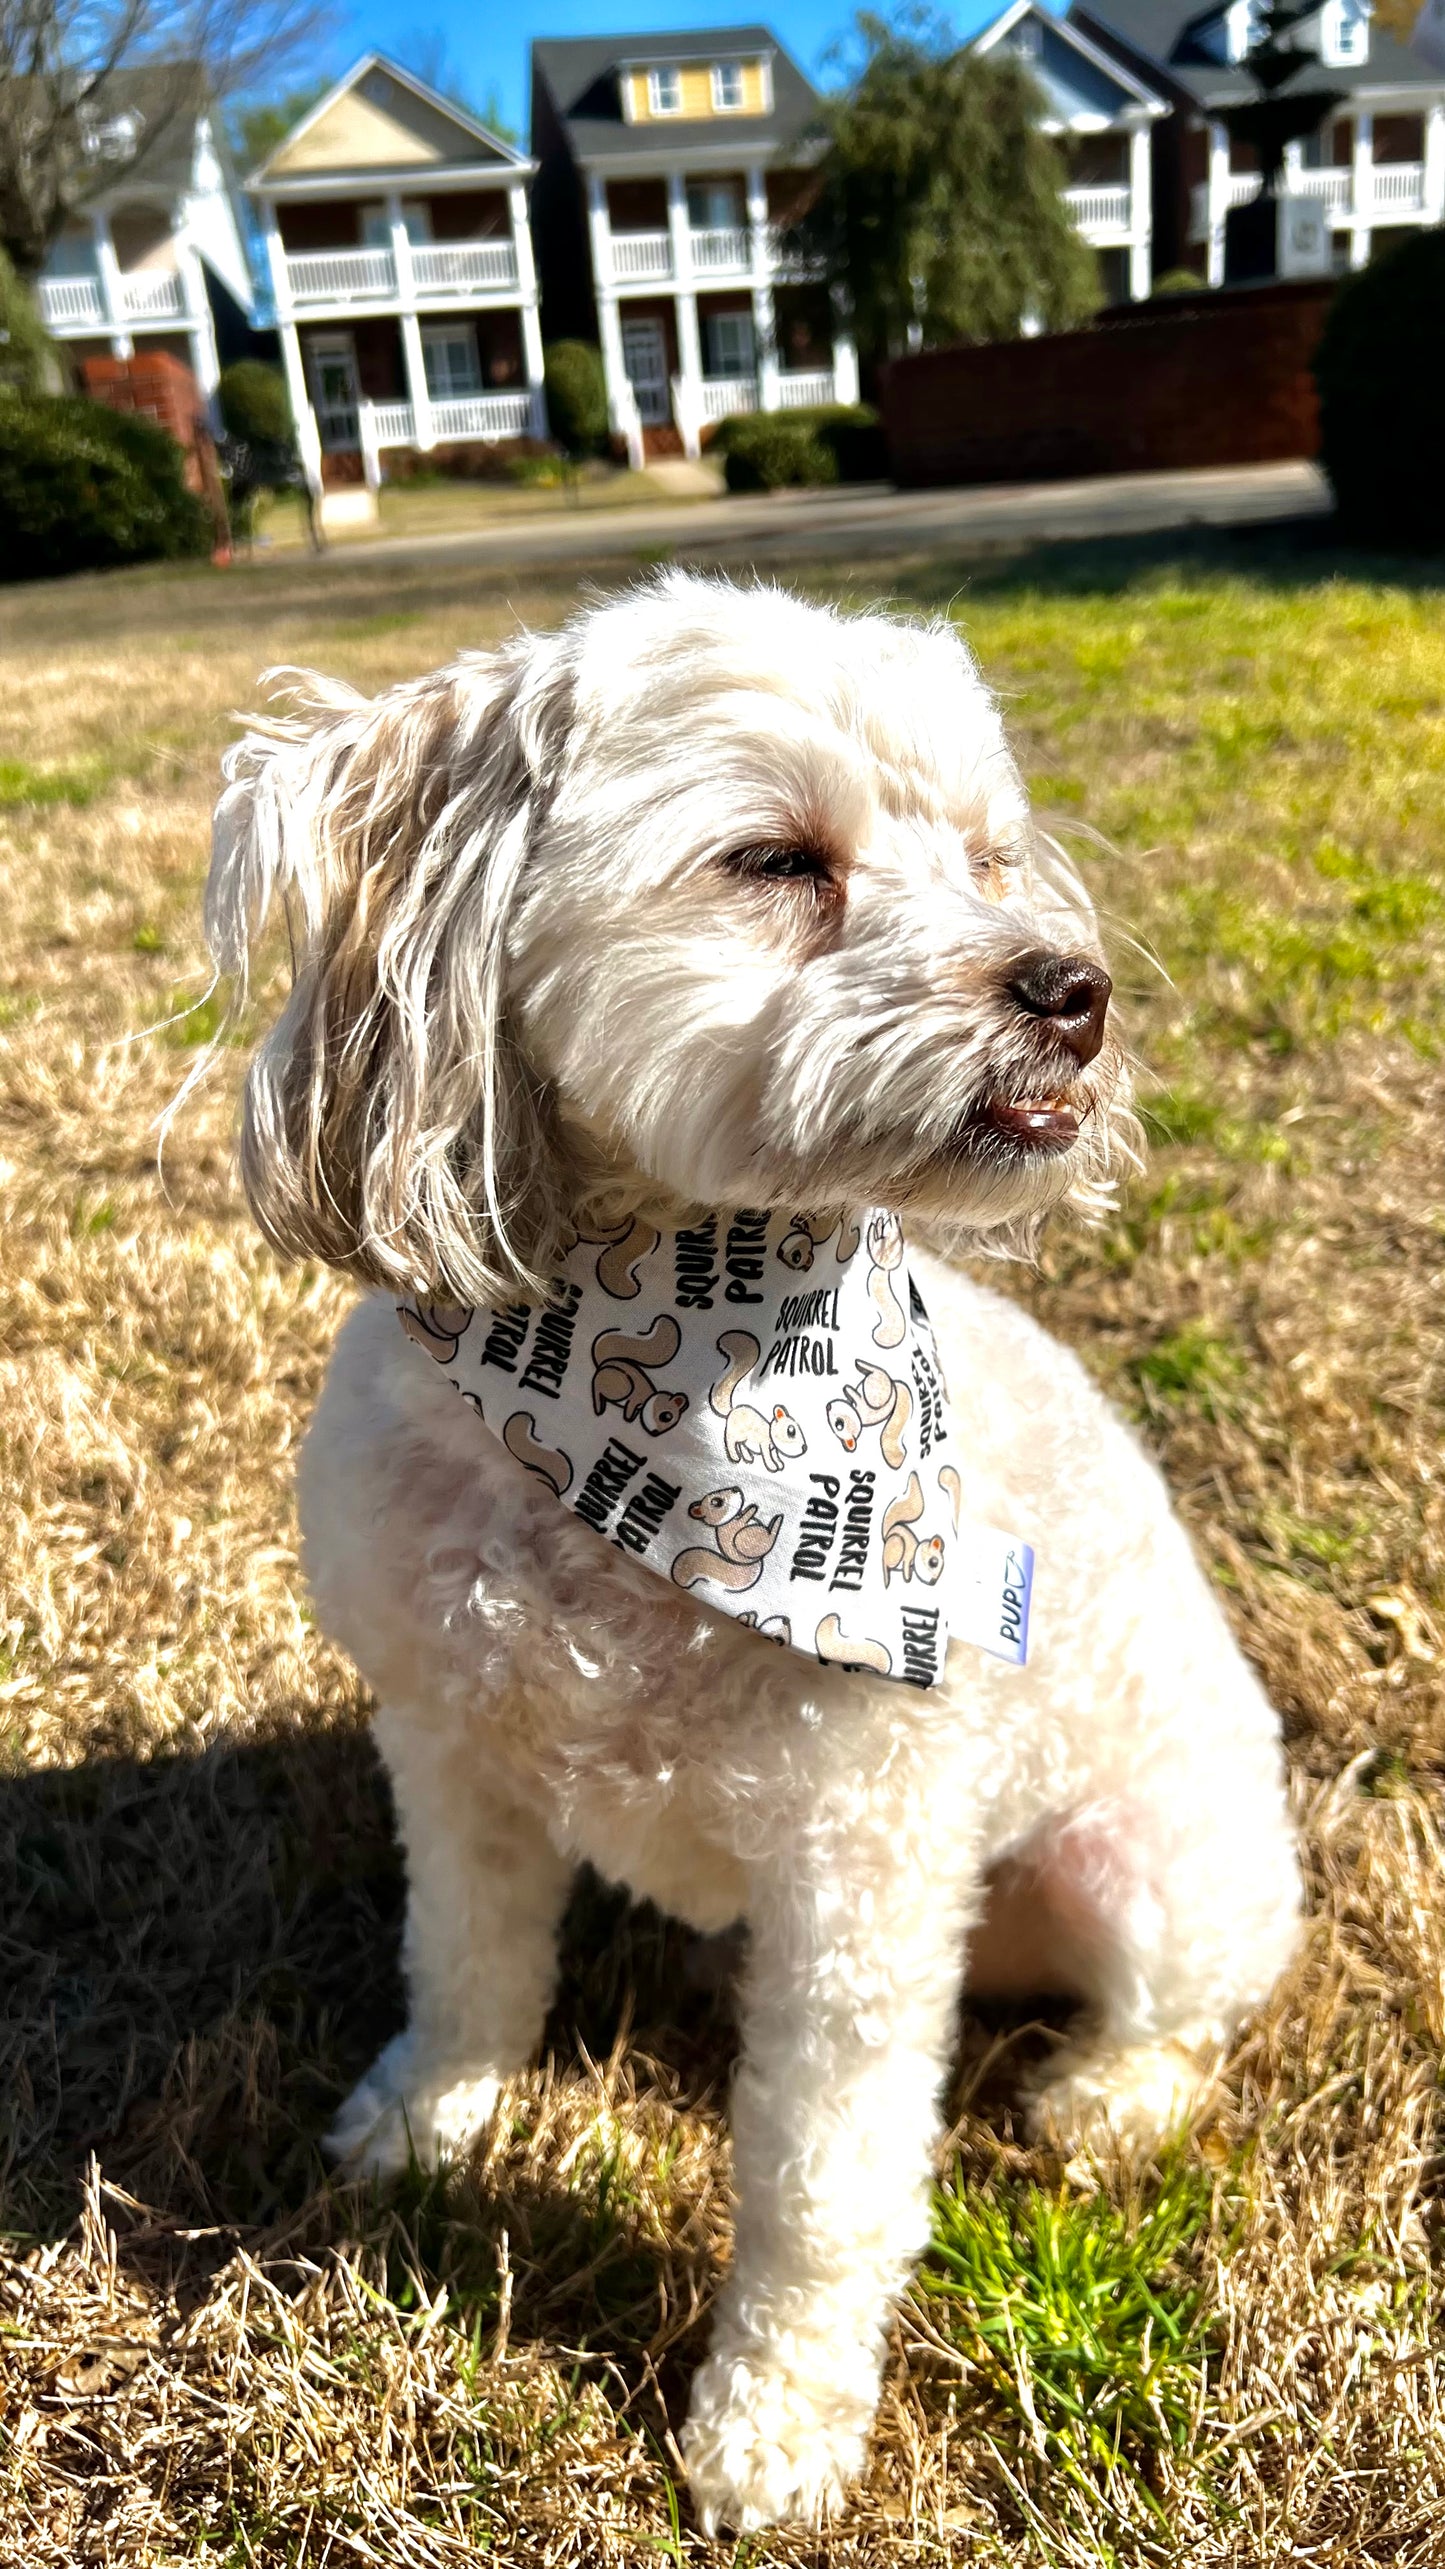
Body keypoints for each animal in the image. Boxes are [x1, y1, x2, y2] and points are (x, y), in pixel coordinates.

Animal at [709, 1331, 807, 1473]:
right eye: (791, 1431)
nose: (804, 1448)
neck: (769, 1433)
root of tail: (733, 1410)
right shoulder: (764, 1445)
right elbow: (767, 1457)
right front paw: (772, 1466)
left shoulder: (773, 1450)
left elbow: (776, 1456)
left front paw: (779, 1465)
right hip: (736, 1433)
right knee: (731, 1441)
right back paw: (734, 1456)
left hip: (744, 1438)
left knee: (742, 1445)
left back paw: (747, 1457)